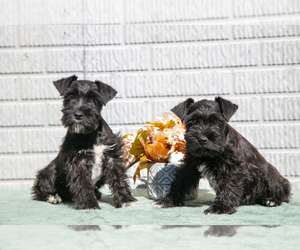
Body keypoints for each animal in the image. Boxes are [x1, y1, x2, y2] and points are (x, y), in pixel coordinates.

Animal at [32, 75, 137, 209]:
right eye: (71, 96)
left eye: (93, 99)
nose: (78, 115)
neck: (90, 134)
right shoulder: (78, 162)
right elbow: (83, 183)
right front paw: (89, 204)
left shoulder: (112, 157)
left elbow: (118, 179)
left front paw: (126, 200)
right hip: (48, 172)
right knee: (40, 189)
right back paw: (53, 197)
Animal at [156, 96, 292, 214]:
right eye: (192, 121)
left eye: (217, 121)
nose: (202, 139)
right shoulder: (190, 165)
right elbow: (181, 181)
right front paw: (168, 200)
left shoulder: (233, 168)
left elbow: (229, 186)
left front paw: (221, 207)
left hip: (272, 178)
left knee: (284, 191)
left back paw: (271, 200)